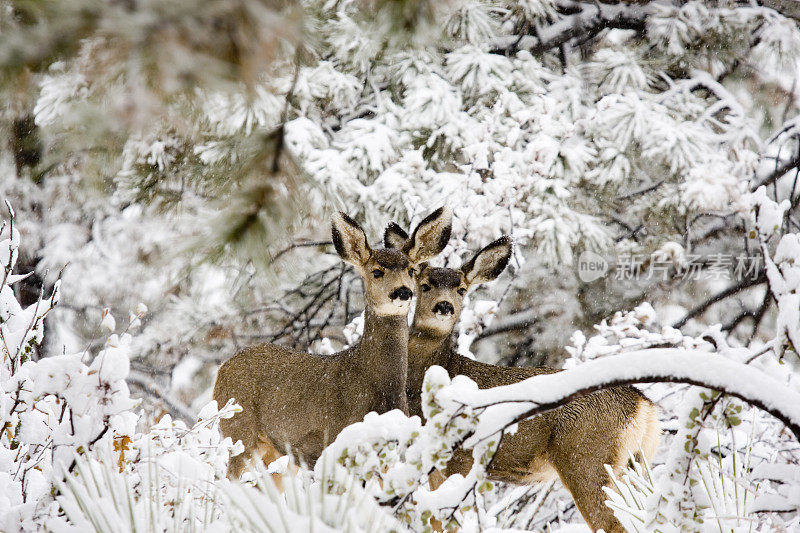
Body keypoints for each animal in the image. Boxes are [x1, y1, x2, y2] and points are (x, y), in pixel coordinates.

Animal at [212, 207, 450, 478]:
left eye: (411, 270)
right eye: (377, 271)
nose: (402, 292)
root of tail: (222, 368)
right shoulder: (332, 441)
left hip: (273, 449)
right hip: (239, 429)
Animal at [384, 225, 660, 532]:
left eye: (461, 289)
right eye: (425, 285)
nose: (444, 306)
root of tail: (643, 406)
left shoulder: (461, 459)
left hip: (588, 459)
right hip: (634, 464)